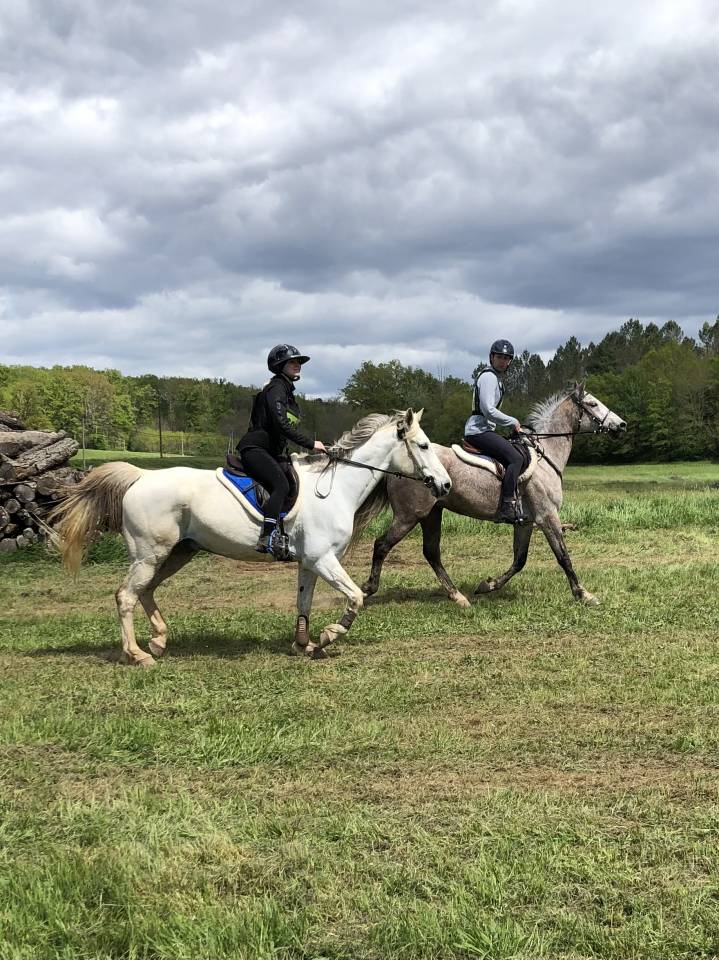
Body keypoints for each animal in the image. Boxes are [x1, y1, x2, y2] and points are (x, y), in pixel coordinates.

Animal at [52, 409, 451, 664]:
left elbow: (303, 603)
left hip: (178, 552)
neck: (336, 487)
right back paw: (136, 654)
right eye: (424, 446)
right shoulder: (323, 559)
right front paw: (328, 636)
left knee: (145, 591)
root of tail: (141, 477)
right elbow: (355, 597)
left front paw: (304, 645)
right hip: (150, 555)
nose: (445, 485)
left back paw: (159, 641)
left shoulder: (310, 562)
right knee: (125, 596)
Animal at [362, 384, 626, 608]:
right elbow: (563, 557)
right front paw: (583, 593)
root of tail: (396, 463)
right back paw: (367, 589)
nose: (622, 425)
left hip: (431, 513)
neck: (545, 457)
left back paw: (457, 596)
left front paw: (487, 585)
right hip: (409, 515)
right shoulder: (547, 517)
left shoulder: (526, 523)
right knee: (382, 545)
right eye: (592, 404)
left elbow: (520, 560)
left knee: (431, 552)